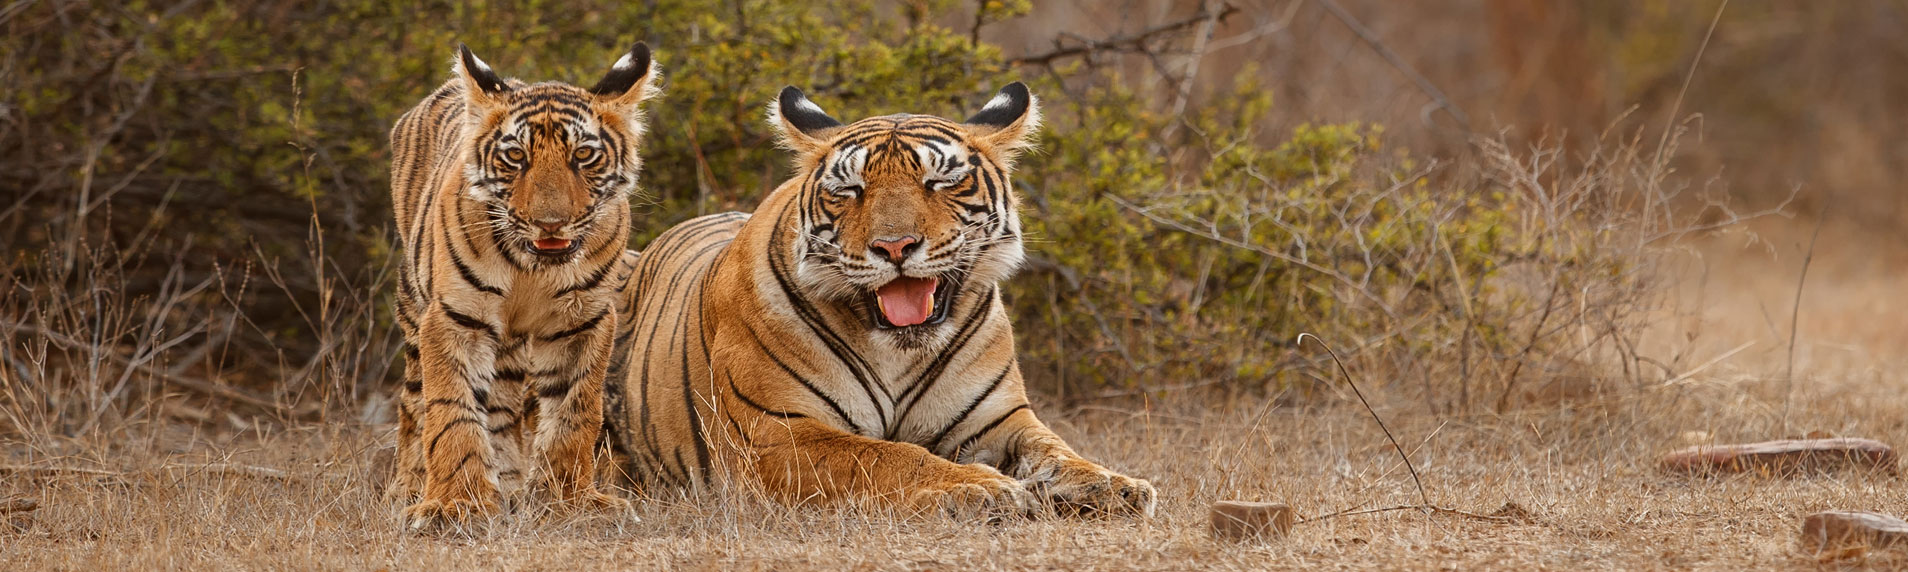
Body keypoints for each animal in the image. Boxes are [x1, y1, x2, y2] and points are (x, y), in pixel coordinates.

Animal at [385, 42, 658, 528]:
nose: (549, 223)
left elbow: (573, 412)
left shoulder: (582, 322)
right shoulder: (456, 318)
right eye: (515, 157)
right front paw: (456, 504)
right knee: (414, 403)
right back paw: (409, 489)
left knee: (500, 408)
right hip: (414, 309)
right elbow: (452, 411)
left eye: (583, 156)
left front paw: (569, 501)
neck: (532, 269)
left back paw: (509, 485)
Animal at [603, 83, 1156, 520]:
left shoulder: (1000, 421)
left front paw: (1116, 485)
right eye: (851, 189)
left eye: (941, 181)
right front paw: (981, 487)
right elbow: (887, 457)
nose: (895, 247)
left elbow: (1058, 452)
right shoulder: (778, 433)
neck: (897, 349)